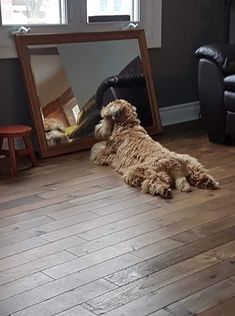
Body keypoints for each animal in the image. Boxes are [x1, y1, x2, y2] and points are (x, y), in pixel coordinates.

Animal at [91, 99, 219, 198]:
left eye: (105, 117)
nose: (97, 129)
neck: (128, 126)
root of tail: (175, 165)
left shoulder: (105, 153)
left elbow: (97, 149)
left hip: (138, 171)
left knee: (153, 182)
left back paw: (163, 191)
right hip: (191, 162)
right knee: (197, 174)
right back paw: (208, 182)